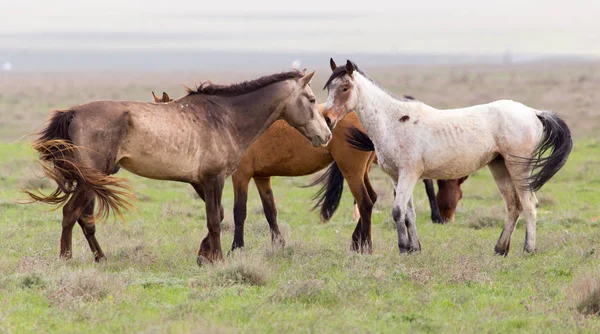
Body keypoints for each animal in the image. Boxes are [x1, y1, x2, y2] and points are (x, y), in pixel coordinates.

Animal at [25, 70, 330, 264]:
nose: (326, 135)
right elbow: (215, 220)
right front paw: (218, 258)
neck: (225, 117)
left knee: (83, 218)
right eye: (312, 99)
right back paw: (67, 259)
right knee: (71, 213)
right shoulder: (215, 179)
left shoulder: (201, 181)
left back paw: (100, 258)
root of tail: (74, 112)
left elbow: (219, 215)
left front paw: (204, 255)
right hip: (93, 178)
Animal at [324, 58, 572, 254]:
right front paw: (415, 248)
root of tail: (534, 113)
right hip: (499, 166)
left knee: (529, 204)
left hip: (519, 168)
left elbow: (397, 211)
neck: (394, 121)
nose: (326, 118)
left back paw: (528, 249)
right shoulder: (397, 177)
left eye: (344, 88)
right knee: (513, 205)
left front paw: (403, 248)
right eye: (328, 88)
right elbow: (409, 213)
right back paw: (500, 249)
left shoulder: (409, 174)